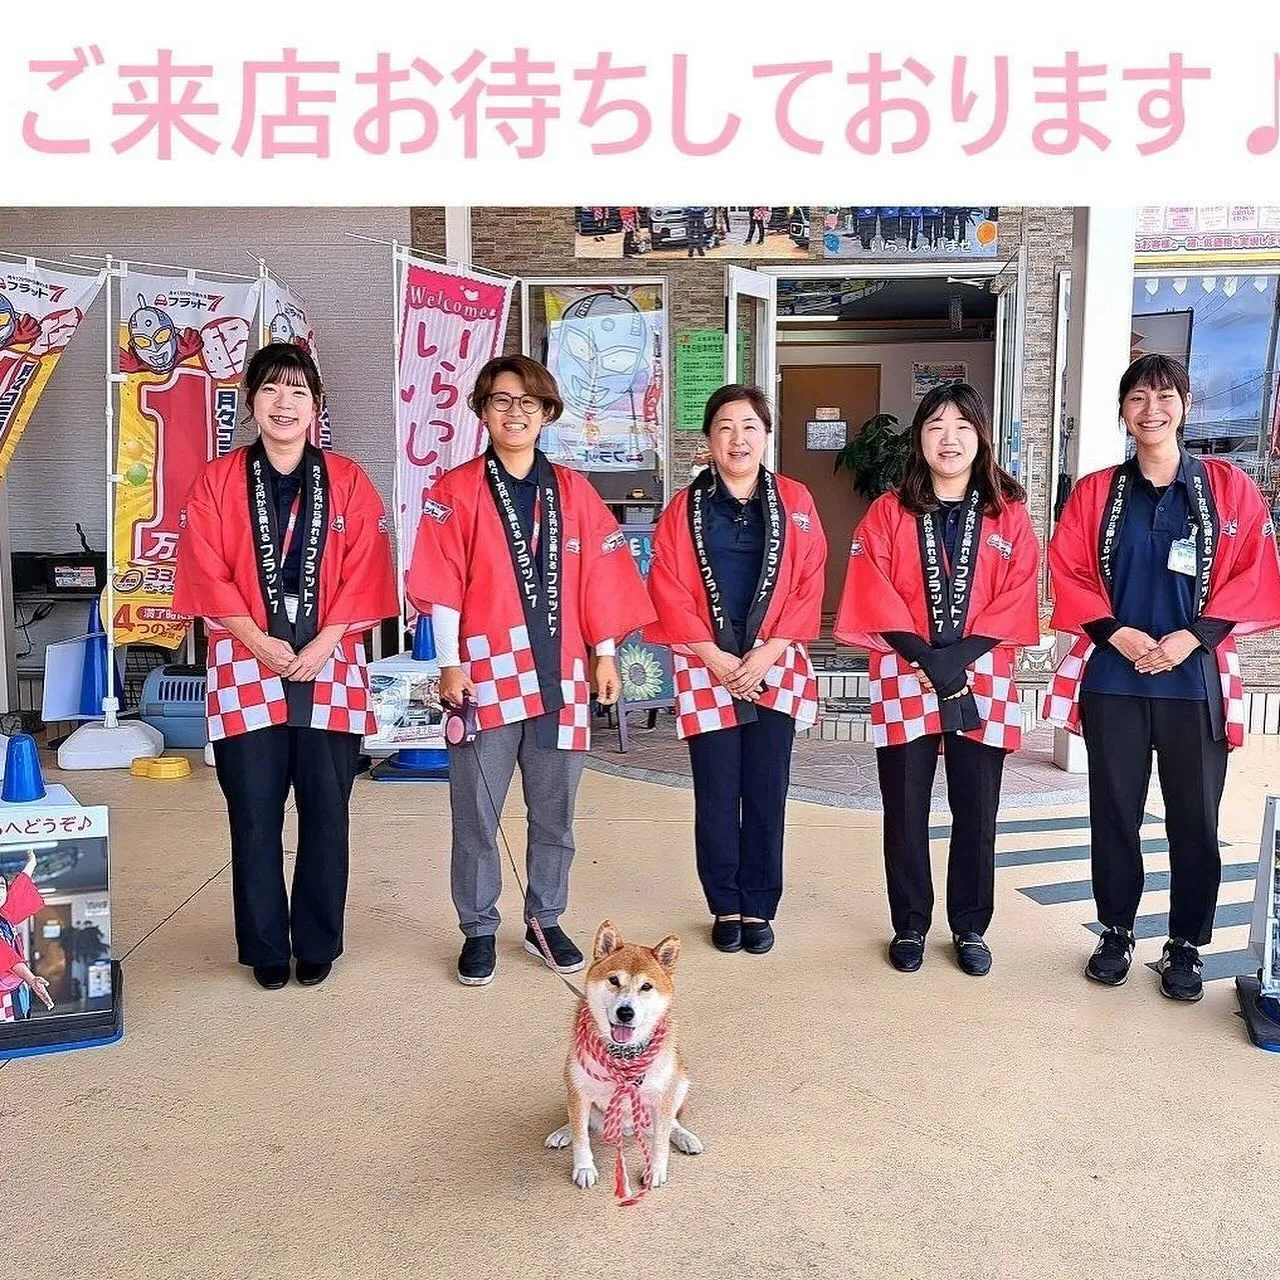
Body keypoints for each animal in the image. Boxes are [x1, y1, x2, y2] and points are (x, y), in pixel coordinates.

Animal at [540, 916, 701, 1192]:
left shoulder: (664, 1096)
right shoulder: (579, 1090)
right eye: (614, 980)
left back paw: (685, 1137)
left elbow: (660, 1140)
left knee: (672, 1124)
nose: (625, 1012)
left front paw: (656, 1170)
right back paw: (563, 1132)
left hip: (680, 1082)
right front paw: (584, 1168)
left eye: (646, 986)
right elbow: (581, 1136)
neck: (623, 1055)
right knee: (579, 1121)